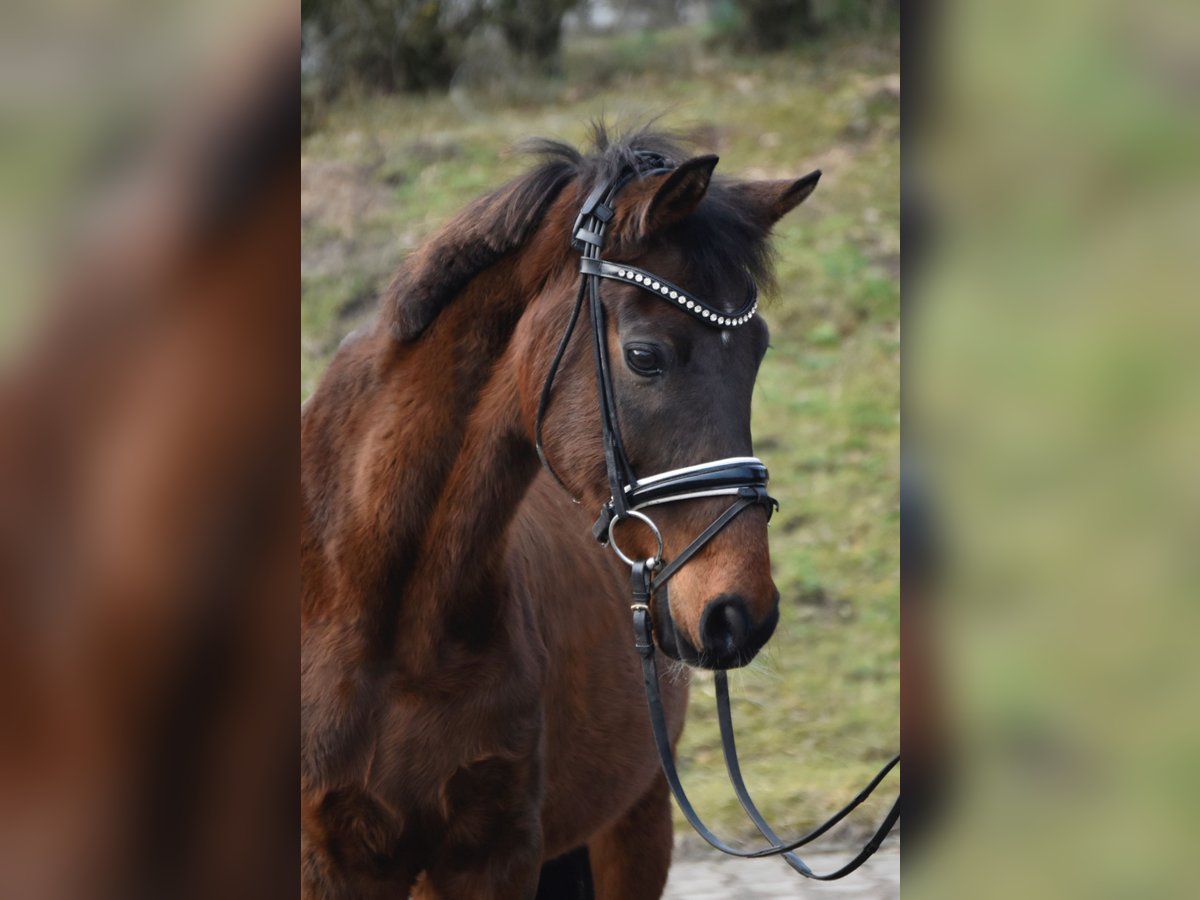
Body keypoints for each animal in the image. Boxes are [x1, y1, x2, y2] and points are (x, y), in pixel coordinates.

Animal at [302, 127, 825, 900]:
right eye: (644, 356)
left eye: (757, 354)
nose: (741, 613)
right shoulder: (332, 862)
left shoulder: (495, 855)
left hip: (637, 824)